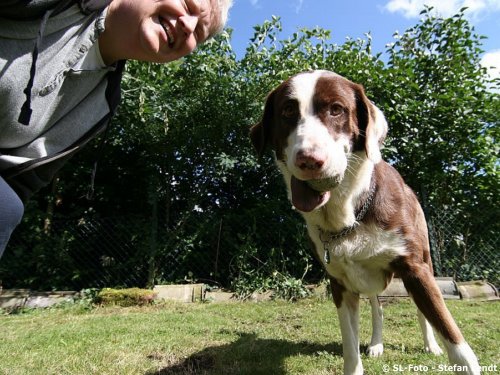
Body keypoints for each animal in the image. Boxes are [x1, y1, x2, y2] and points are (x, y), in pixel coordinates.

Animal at [250, 70, 480, 375]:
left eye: (336, 109)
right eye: (287, 110)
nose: (309, 160)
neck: (349, 216)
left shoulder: (414, 268)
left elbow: (451, 332)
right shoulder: (339, 283)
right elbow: (349, 341)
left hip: (425, 257)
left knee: (423, 312)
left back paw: (430, 345)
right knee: (376, 306)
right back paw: (376, 344)